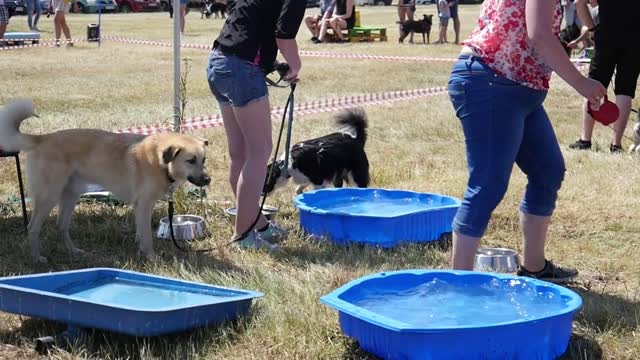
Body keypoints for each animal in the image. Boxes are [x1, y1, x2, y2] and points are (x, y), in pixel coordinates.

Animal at [0, 100, 211, 262]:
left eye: (203, 160)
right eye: (191, 160)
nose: (208, 180)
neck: (160, 161)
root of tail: (42, 138)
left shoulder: (139, 207)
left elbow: (140, 234)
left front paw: (141, 252)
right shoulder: (144, 205)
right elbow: (146, 236)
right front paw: (151, 257)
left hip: (71, 195)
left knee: (61, 226)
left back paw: (74, 252)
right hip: (48, 197)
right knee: (33, 228)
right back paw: (37, 258)